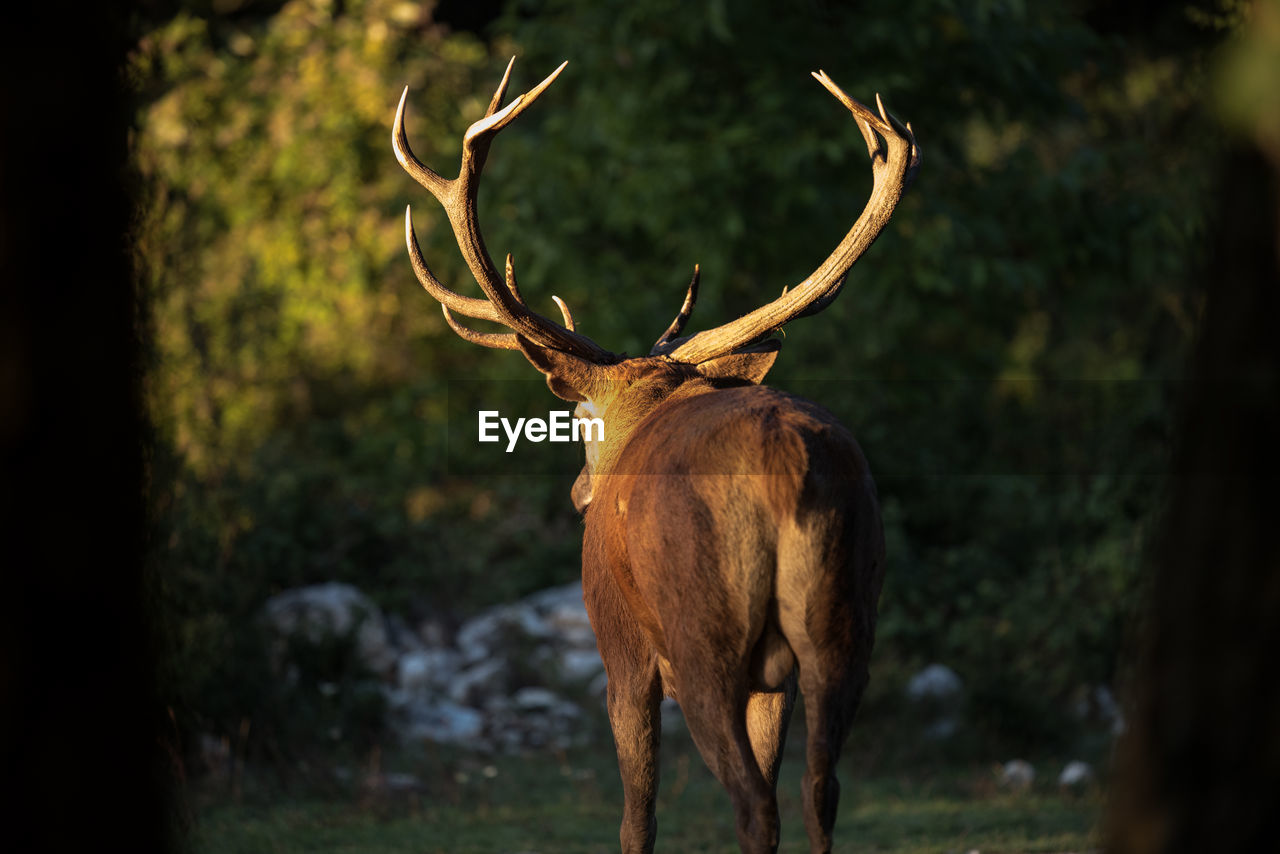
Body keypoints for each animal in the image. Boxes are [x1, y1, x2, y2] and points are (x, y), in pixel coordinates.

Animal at [391, 58, 921, 854]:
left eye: (579, 417)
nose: (578, 496)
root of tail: (784, 464)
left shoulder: (621, 648)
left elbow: (636, 816)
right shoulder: (779, 674)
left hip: (702, 636)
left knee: (752, 802)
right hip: (848, 617)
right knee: (819, 789)